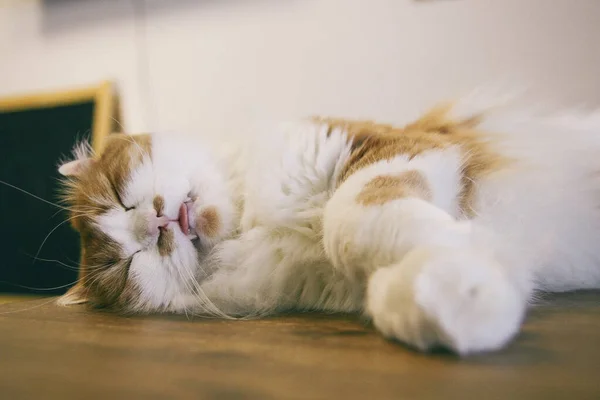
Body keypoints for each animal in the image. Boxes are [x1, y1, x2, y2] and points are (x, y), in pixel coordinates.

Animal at [55, 94, 600, 356]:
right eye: (127, 266)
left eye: (120, 196)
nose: (155, 225)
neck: (249, 218)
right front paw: (458, 297)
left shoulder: (395, 148)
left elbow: (349, 217)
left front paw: (466, 272)